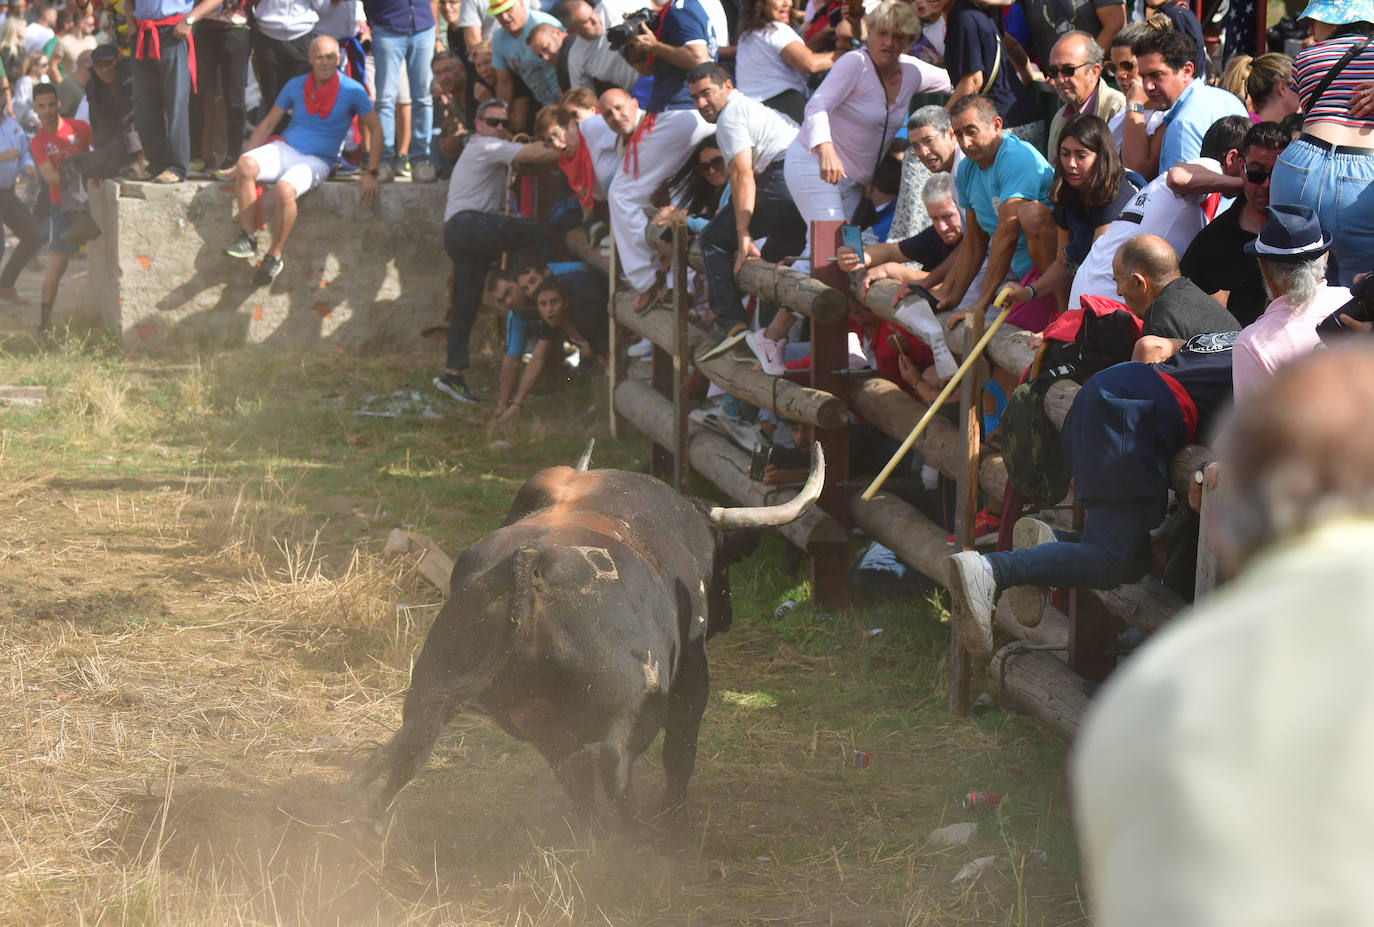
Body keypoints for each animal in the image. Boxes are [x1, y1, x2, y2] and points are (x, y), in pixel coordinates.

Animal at [348, 444, 818, 824]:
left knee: (416, 752)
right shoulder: (692, 672)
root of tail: (532, 563)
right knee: (614, 771)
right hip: (628, 712)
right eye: (724, 562)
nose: (728, 616)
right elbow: (680, 750)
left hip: (450, 694)